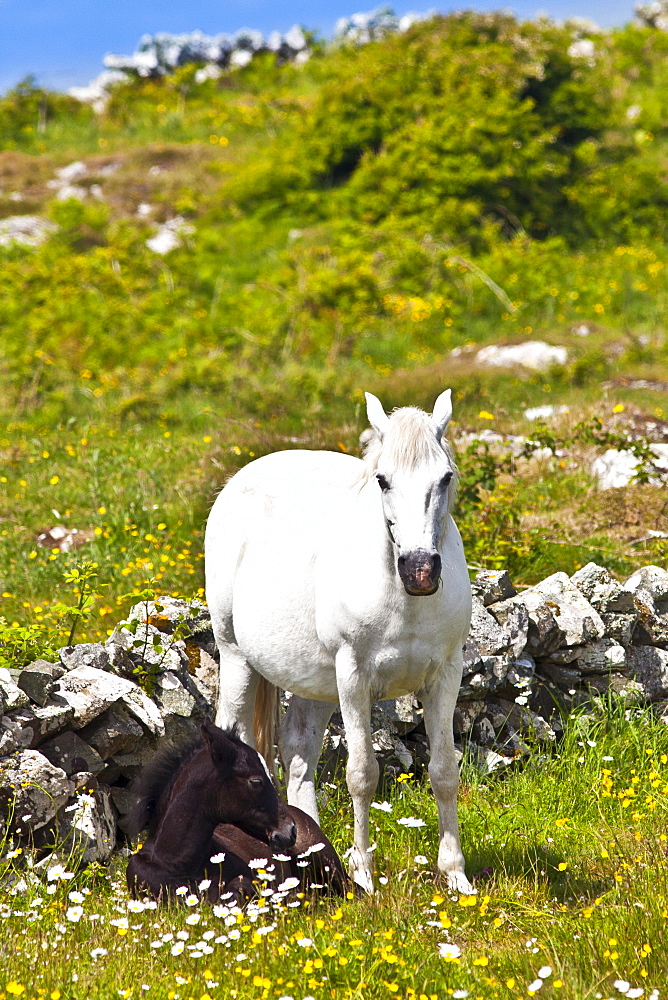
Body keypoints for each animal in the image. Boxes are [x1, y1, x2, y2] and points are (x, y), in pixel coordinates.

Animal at [206, 388, 472, 892]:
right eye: (383, 481)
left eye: (445, 477)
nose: (420, 571)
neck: (402, 599)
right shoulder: (354, 676)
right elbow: (362, 774)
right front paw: (364, 873)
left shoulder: (445, 675)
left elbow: (445, 771)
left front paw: (455, 875)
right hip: (237, 659)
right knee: (238, 737)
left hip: (316, 682)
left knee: (297, 754)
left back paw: (308, 854)